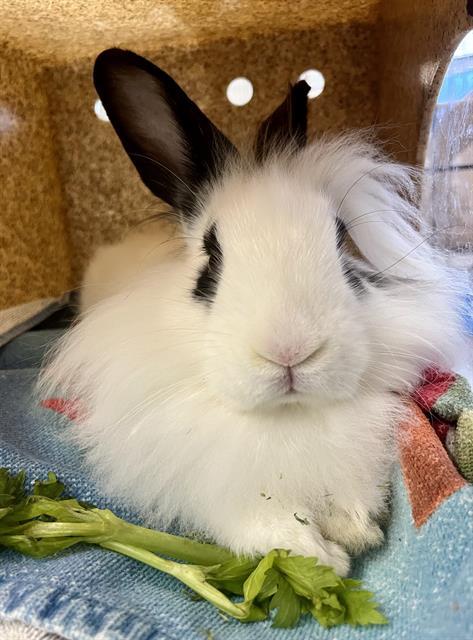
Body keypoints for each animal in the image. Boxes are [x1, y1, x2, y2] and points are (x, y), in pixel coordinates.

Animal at [40, 48, 469, 577]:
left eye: (341, 240)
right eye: (210, 258)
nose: (290, 351)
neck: (287, 420)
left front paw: (356, 528)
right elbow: (267, 524)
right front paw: (321, 558)